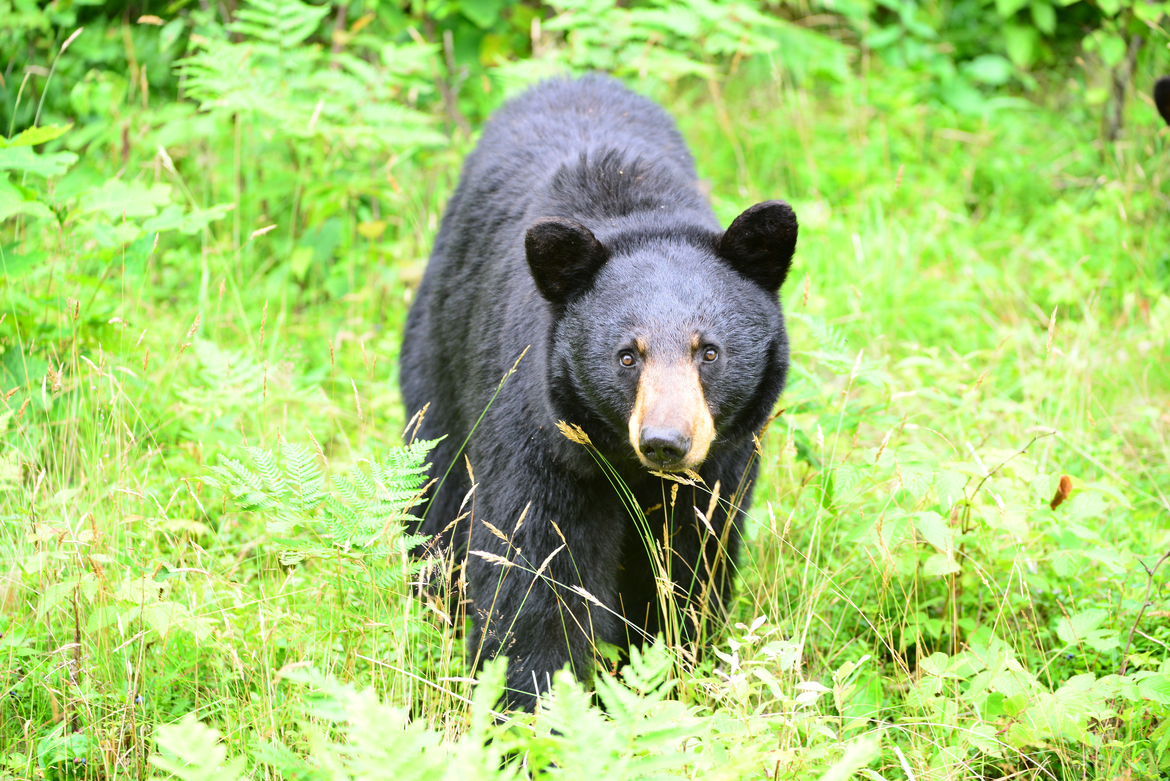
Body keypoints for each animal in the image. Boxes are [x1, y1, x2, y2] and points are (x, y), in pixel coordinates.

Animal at [399, 75, 797, 712]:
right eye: (627, 355)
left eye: (709, 351)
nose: (666, 441)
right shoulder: (542, 436)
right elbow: (533, 568)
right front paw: (532, 702)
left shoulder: (723, 465)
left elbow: (690, 564)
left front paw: (673, 666)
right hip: (439, 355)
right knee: (438, 485)